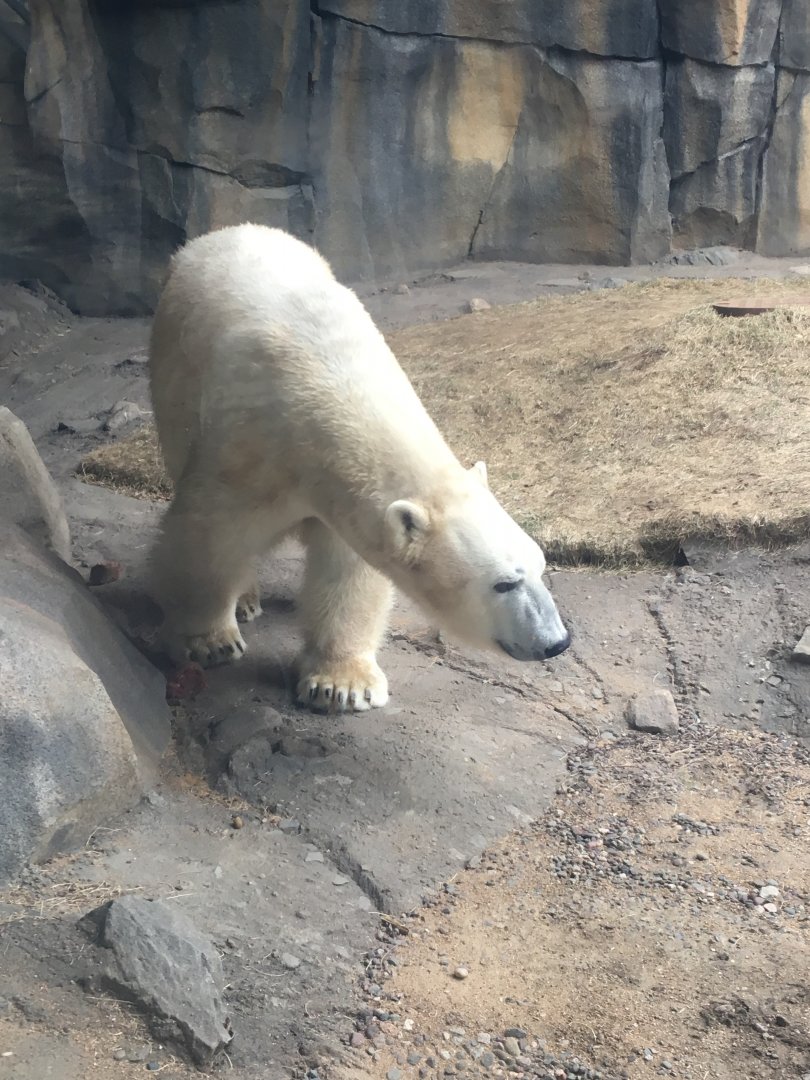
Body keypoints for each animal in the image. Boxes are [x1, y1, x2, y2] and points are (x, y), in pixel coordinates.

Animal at [148, 224, 570, 712]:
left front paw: (342, 684)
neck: (332, 384)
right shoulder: (248, 446)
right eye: (504, 583)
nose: (556, 642)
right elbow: (207, 533)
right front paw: (208, 641)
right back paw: (245, 600)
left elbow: (348, 571)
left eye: (541, 565)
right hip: (173, 372)